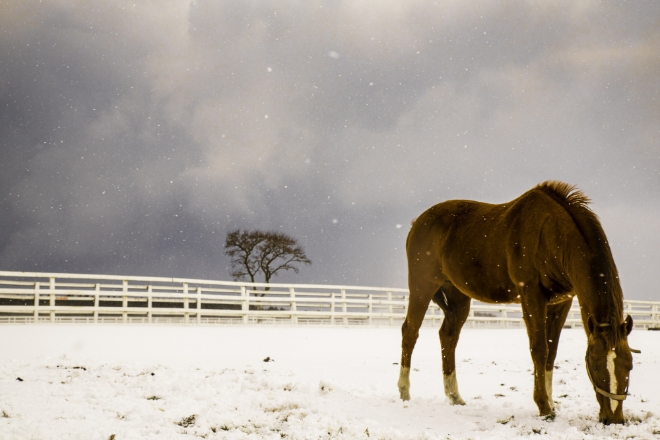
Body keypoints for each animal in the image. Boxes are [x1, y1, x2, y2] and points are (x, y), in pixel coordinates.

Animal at [400, 180, 636, 424]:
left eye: (629, 364)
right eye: (596, 365)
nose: (614, 418)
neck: (551, 233)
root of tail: (416, 224)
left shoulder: (561, 303)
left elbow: (551, 352)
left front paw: (551, 402)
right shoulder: (531, 295)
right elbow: (539, 349)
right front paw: (544, 406)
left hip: (458, 297)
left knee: (448, 337)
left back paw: (455, 396)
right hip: (422, 286)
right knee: (410, 332)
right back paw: (405, 392)